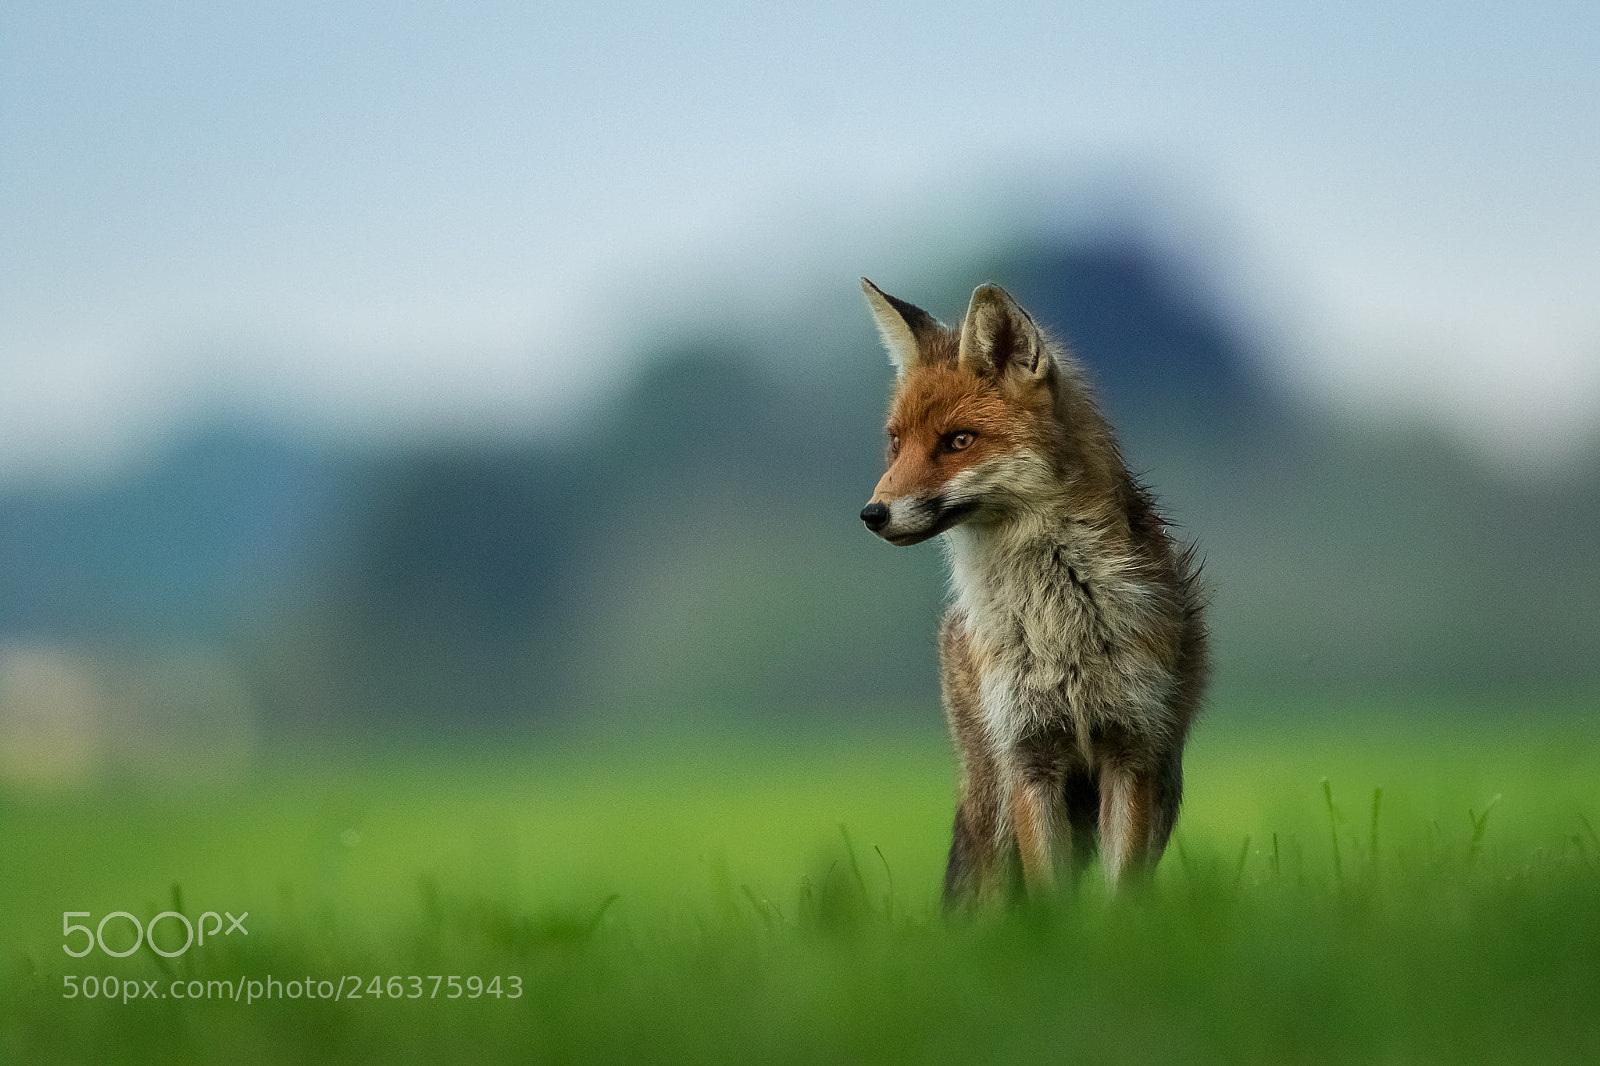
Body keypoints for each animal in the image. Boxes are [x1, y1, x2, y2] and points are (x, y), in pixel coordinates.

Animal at [857, 278, 1208, 906]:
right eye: (896, 443)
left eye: (958, 441)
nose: (873, 514)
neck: (1058, 619)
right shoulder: (1028, 757)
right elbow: (1049, 895)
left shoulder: (1130, 752)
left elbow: (1120, 893)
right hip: (995, 802)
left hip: (1164, 785)